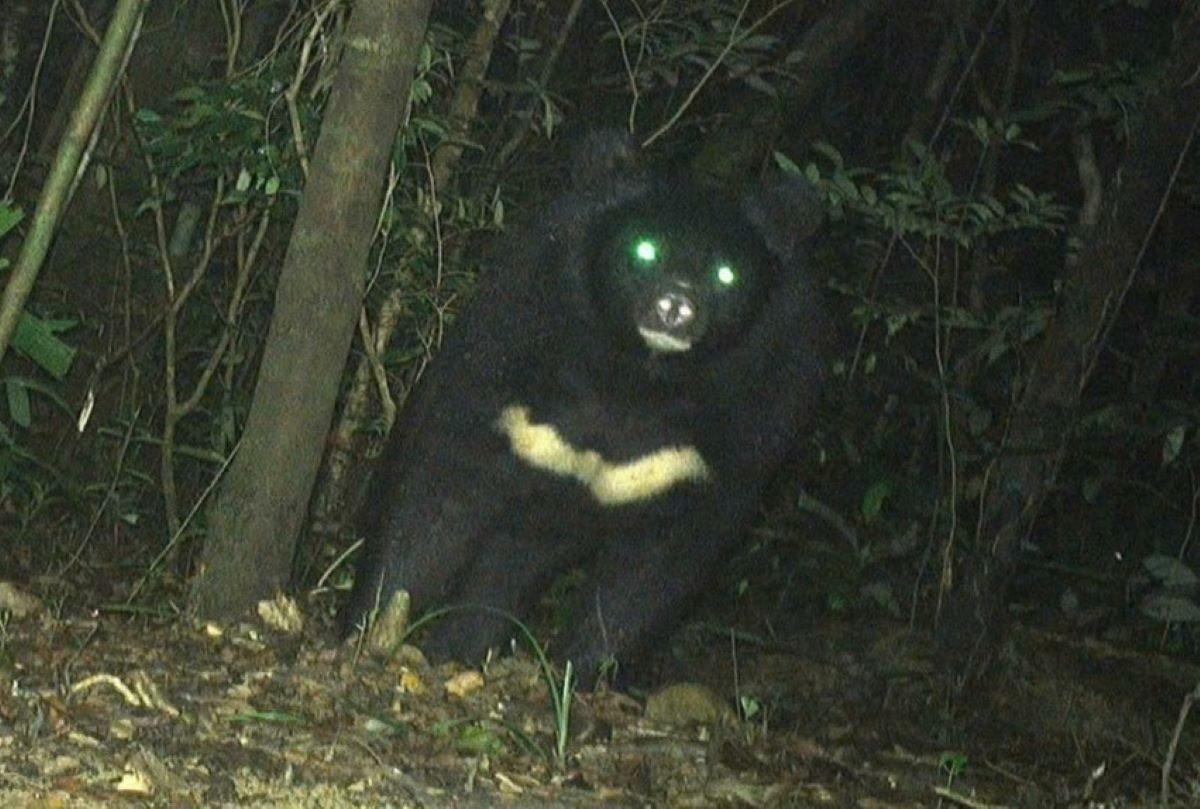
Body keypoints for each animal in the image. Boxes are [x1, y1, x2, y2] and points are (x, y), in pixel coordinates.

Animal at [341, 131, 827, 683]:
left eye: (727, 274)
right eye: (644, 249)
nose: (675, 305)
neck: (635, 375)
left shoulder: (742, 427)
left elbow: (656, 566)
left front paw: (576, 671)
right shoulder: (508, 355)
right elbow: (436, 499)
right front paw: (369, 633)